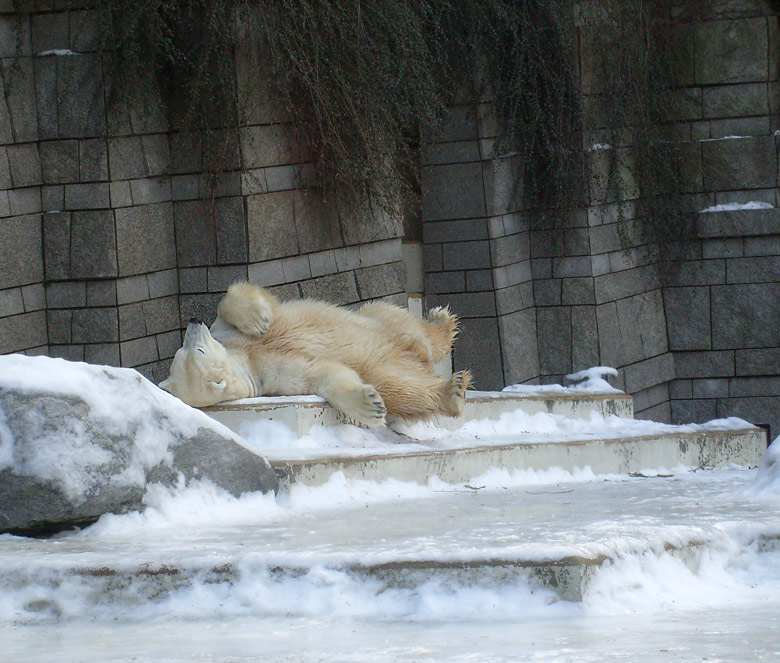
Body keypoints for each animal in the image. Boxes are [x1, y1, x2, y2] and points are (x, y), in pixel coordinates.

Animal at [161, 282, 472, 428]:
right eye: (196, 349)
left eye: (186, 348)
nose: (193, 321)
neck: (245, 359)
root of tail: (417, 357)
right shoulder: (271, 379)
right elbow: (323, 374)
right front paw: (370, 405)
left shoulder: (231, 337)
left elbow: (235, 303)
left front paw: (257, 319)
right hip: (390, 362)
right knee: (399, 386)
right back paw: (452, 390)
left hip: (380, 323)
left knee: (396, 319)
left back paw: (441, 322)